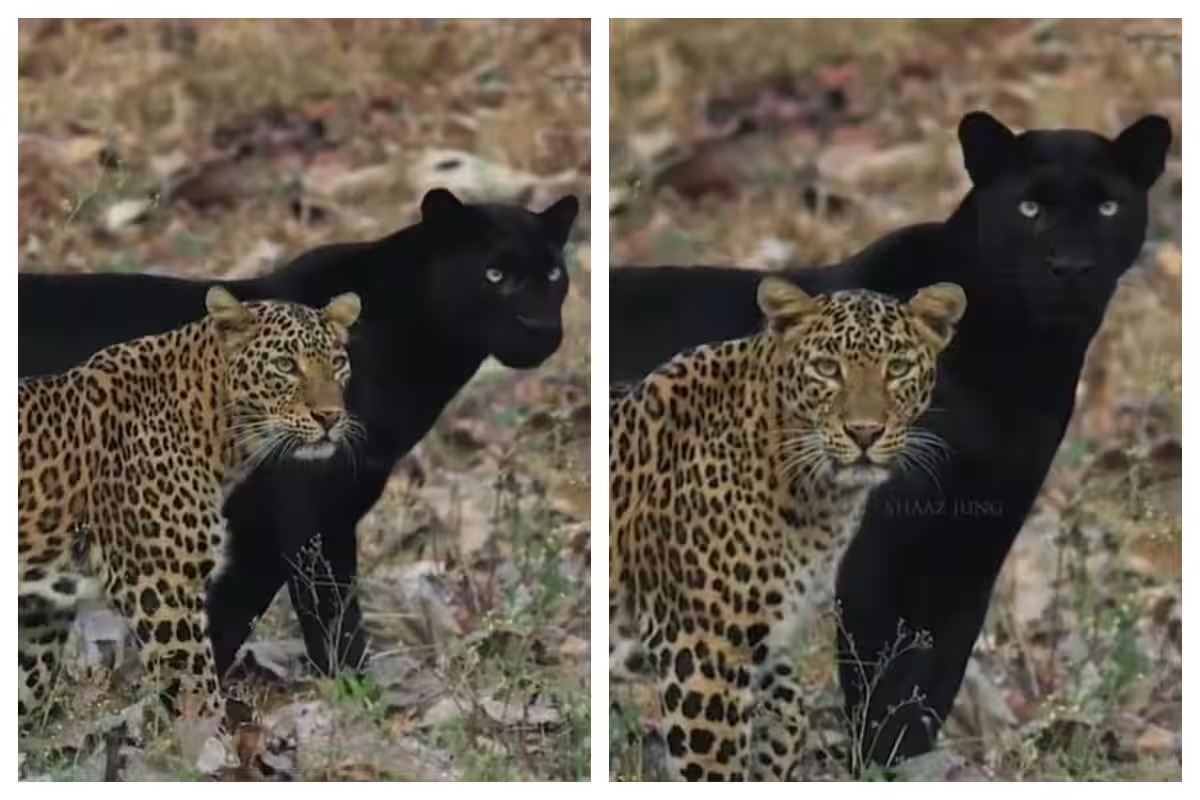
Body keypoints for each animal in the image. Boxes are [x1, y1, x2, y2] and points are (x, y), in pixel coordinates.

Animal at [17, 287, 361, 730]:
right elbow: (197, 695)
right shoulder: (162, 589)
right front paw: (214, 744)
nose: (330, 417)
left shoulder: (41, 613)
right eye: (286, 365)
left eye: (337, 362)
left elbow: (26, 688)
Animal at [609, 277, 966, 781]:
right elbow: (718, 768)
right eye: (826, 368)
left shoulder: (762, 635)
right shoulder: (703, 652)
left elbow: (791, 712)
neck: (816, 499)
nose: (864, 433)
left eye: (896, 368)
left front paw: (774, 761)